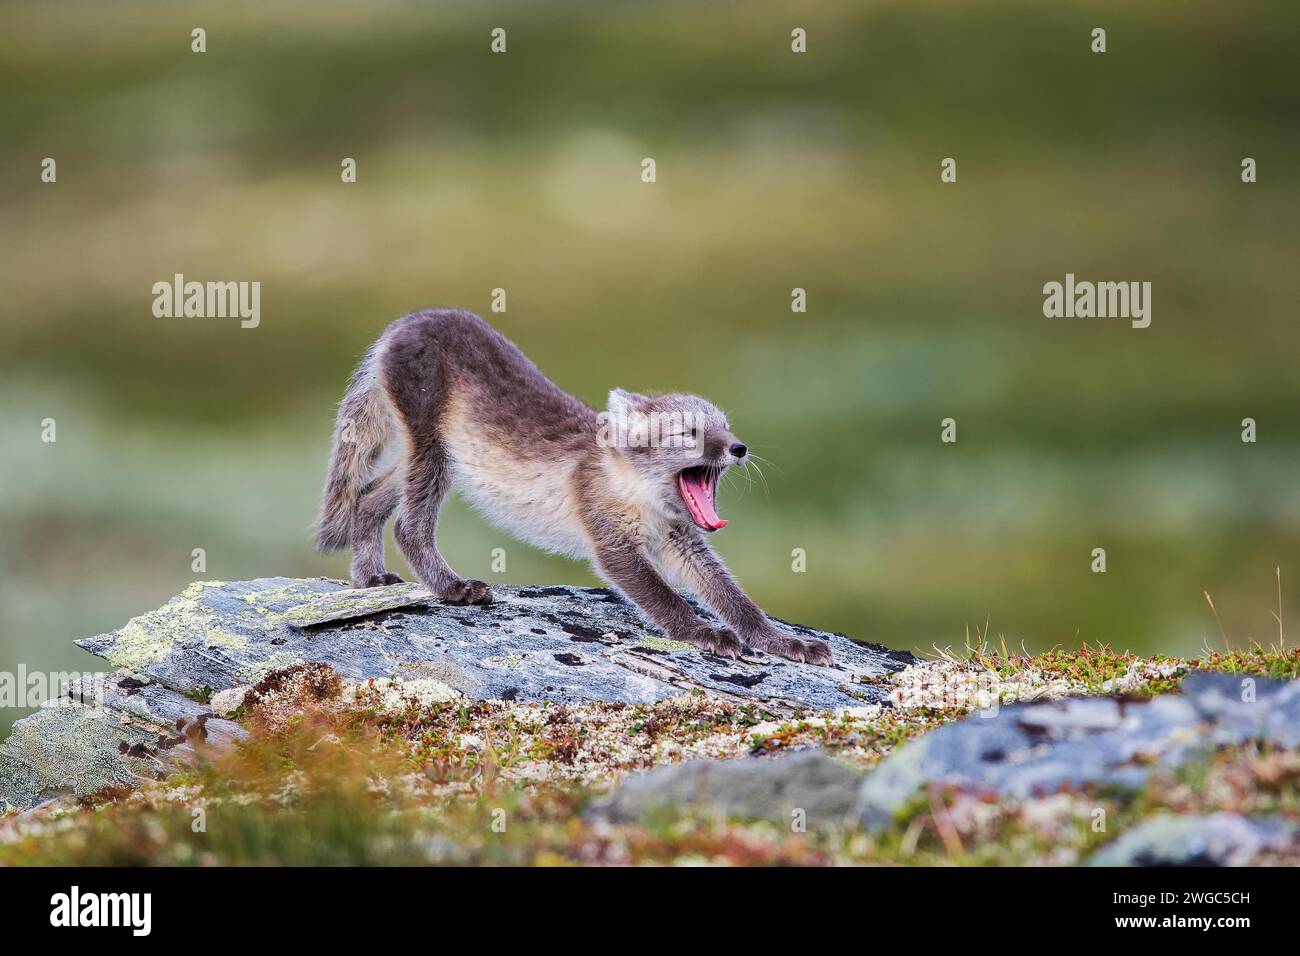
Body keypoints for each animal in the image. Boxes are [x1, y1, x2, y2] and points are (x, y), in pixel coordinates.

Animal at [314, 312, 832, 665]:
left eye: (725, 426)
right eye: (688, 433)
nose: (740, 448)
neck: (639, 495)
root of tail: (406, 321)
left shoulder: (682, 540)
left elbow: (735, 598)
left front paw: (784, 641)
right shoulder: (612, 543)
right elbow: (661, 596)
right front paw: (702, 633)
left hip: (425, 456)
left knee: (367, 499)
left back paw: (368, 580)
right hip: (432, 450)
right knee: (406, 526)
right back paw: (454, 588)